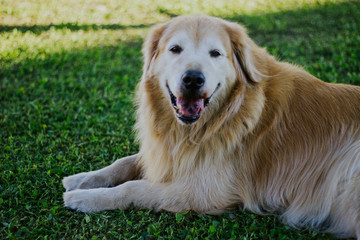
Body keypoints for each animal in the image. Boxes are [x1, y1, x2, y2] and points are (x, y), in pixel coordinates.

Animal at [63, 15, 360, 238]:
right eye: (175, 49)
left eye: (215, 53)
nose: (193, 79)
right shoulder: (169, 153)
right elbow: (124, 162)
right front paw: (81, 179)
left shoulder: (202, 193)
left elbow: (133, 188)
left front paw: (84, 198)